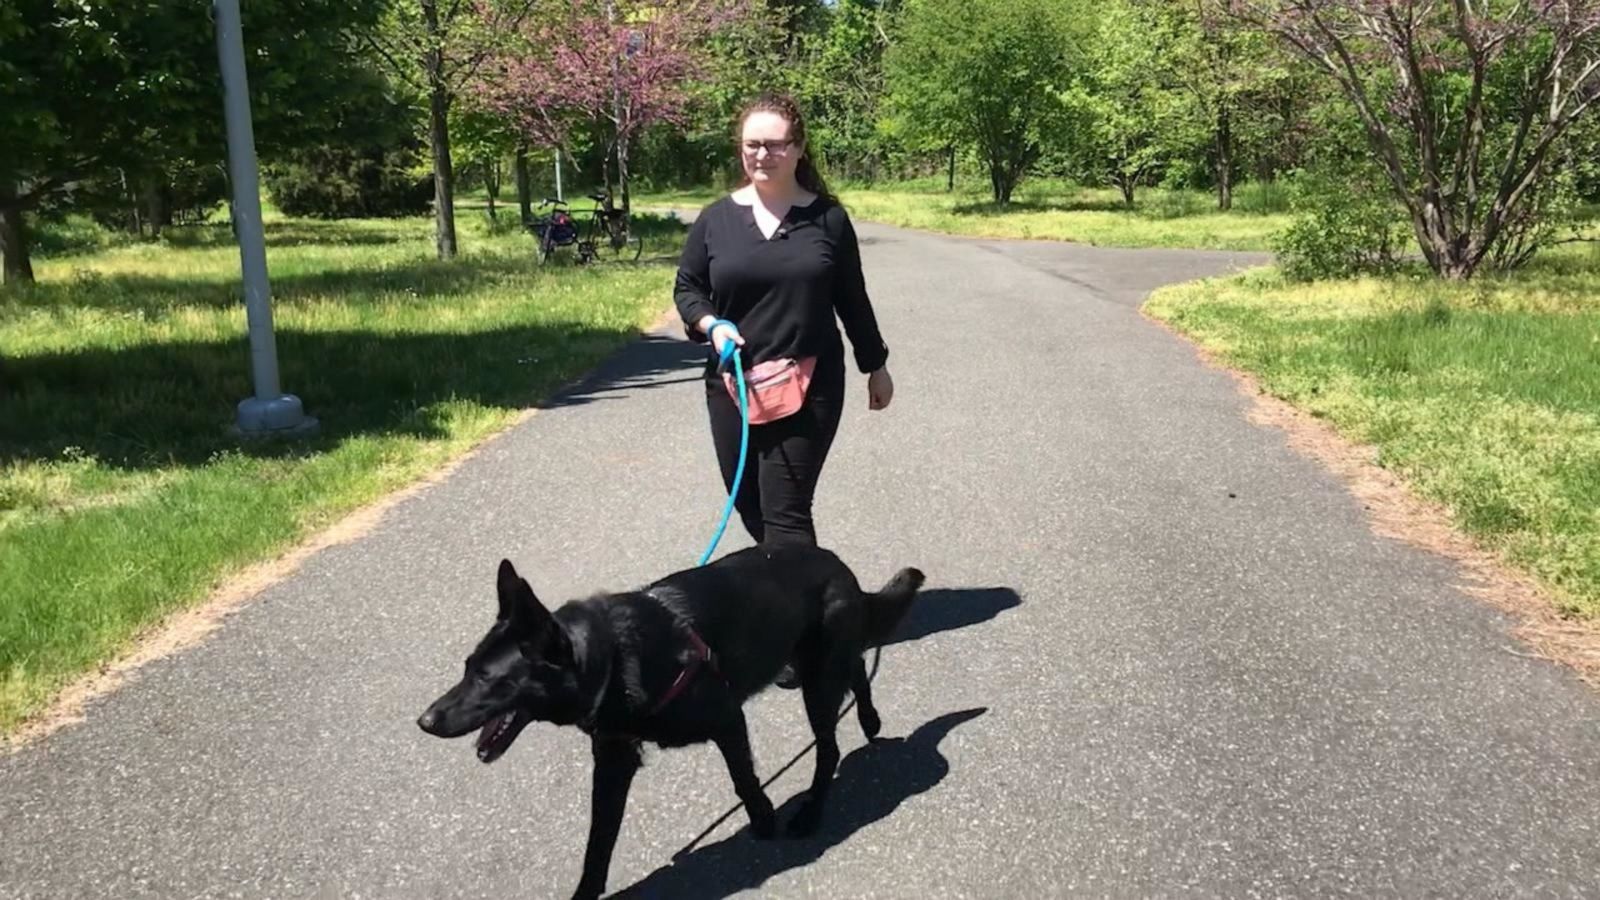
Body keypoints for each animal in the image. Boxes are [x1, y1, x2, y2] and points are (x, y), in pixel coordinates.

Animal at [416, 538, 928, 896]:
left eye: (487, 678)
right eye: (466, 668)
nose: (425, 721)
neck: (613, 658)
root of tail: (839, 565)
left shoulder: (727, 720)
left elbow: (744, 782)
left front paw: (764, 823)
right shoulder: (614, 764)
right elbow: (598, 842)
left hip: (817, 687)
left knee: (829, 747)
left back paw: (811, 812)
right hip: (817, 666)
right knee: (858, 667)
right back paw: (870, 721)